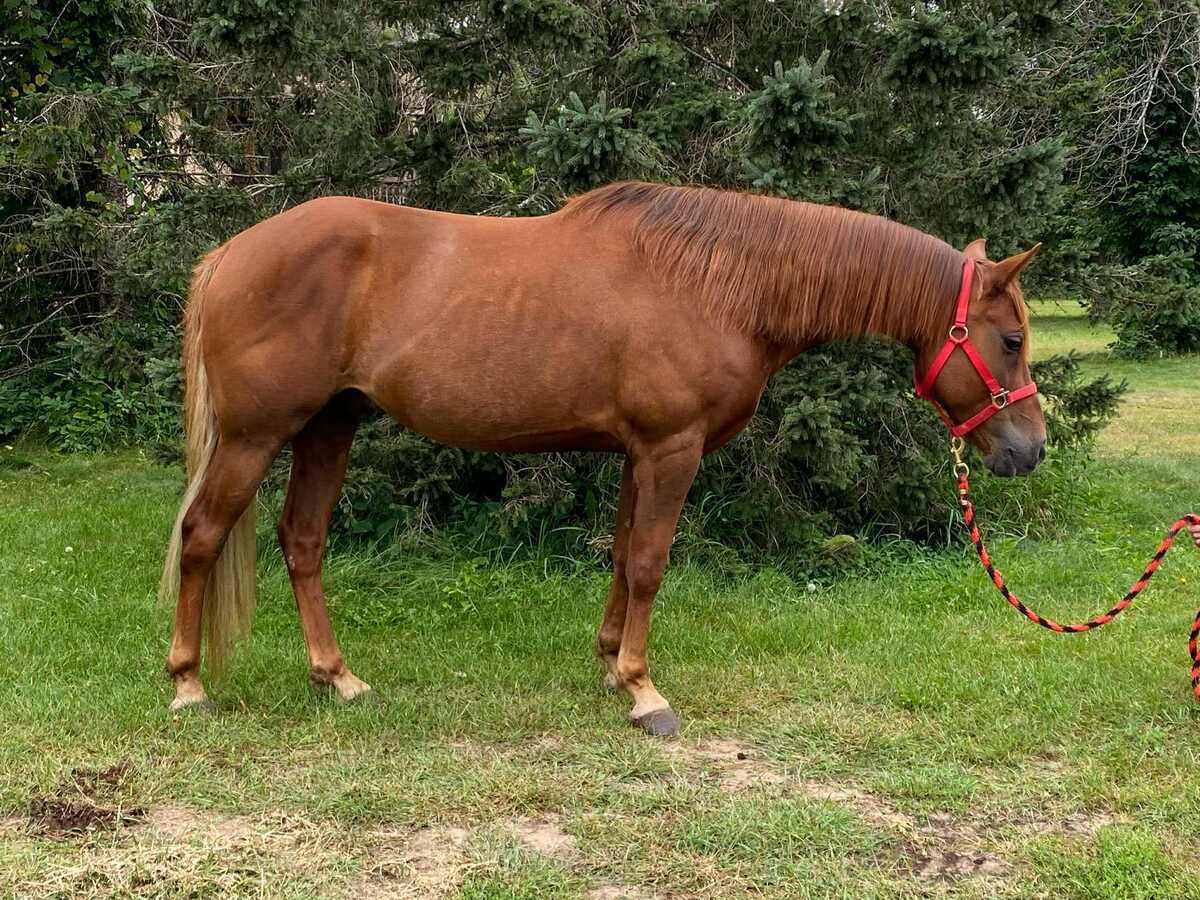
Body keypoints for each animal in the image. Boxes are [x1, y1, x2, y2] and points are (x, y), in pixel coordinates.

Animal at [160, 181, 1046, 736]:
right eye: (1010, 338)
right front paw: (646, 694)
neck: (717, 283)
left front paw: (611, 666)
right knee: (201, 537)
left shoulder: (636, 453)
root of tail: (228, 254)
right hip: (255, 437)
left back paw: (338, 679)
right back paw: (189, 687)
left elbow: (622, 558)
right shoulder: (671, 449)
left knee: (302, 542)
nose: (1030, 449)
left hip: (329, 427)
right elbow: (651, 564)